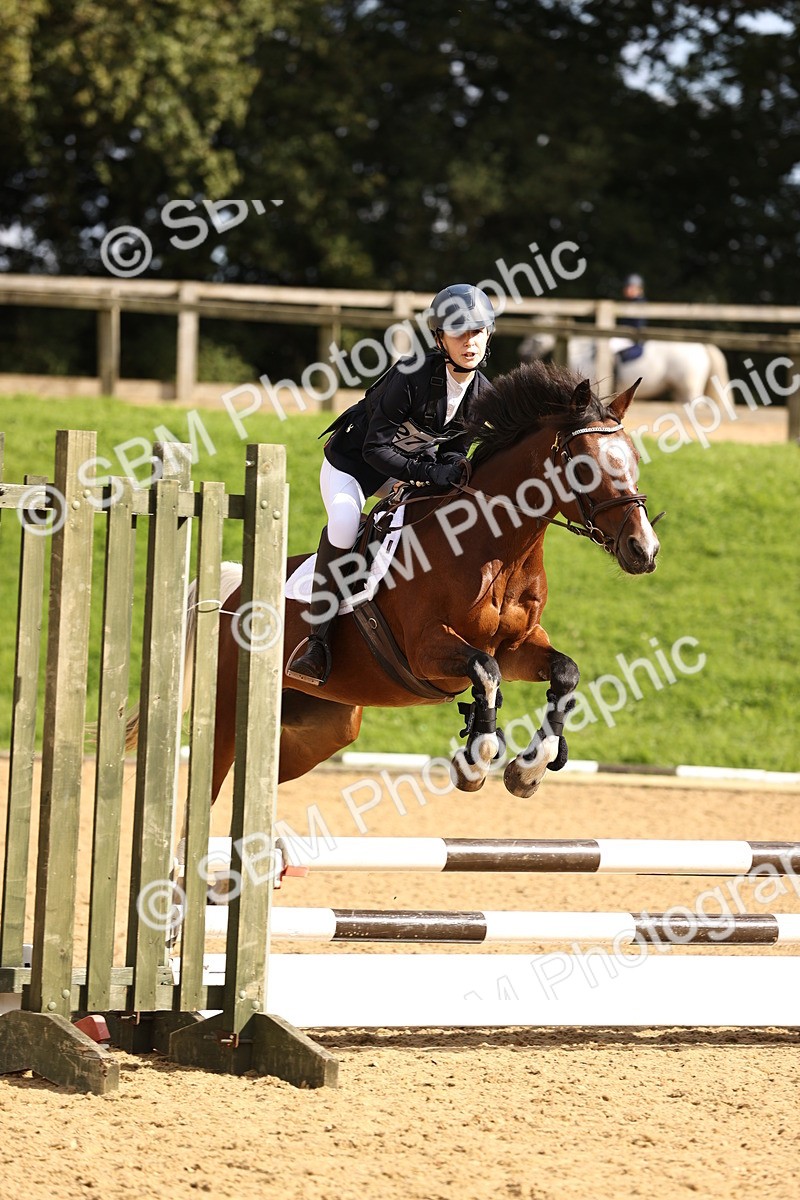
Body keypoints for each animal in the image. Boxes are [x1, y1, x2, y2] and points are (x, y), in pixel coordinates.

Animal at [128, 361, 661, 802]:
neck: (497, 550)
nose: (645, 549)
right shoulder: (428, 650)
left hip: (323, 726)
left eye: (634, 457)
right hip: (229, 714)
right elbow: (484, 670)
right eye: (585, 464)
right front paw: (476, 761)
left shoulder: (519, 645)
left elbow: (563, 672)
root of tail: (236, 590)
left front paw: (528, 769)